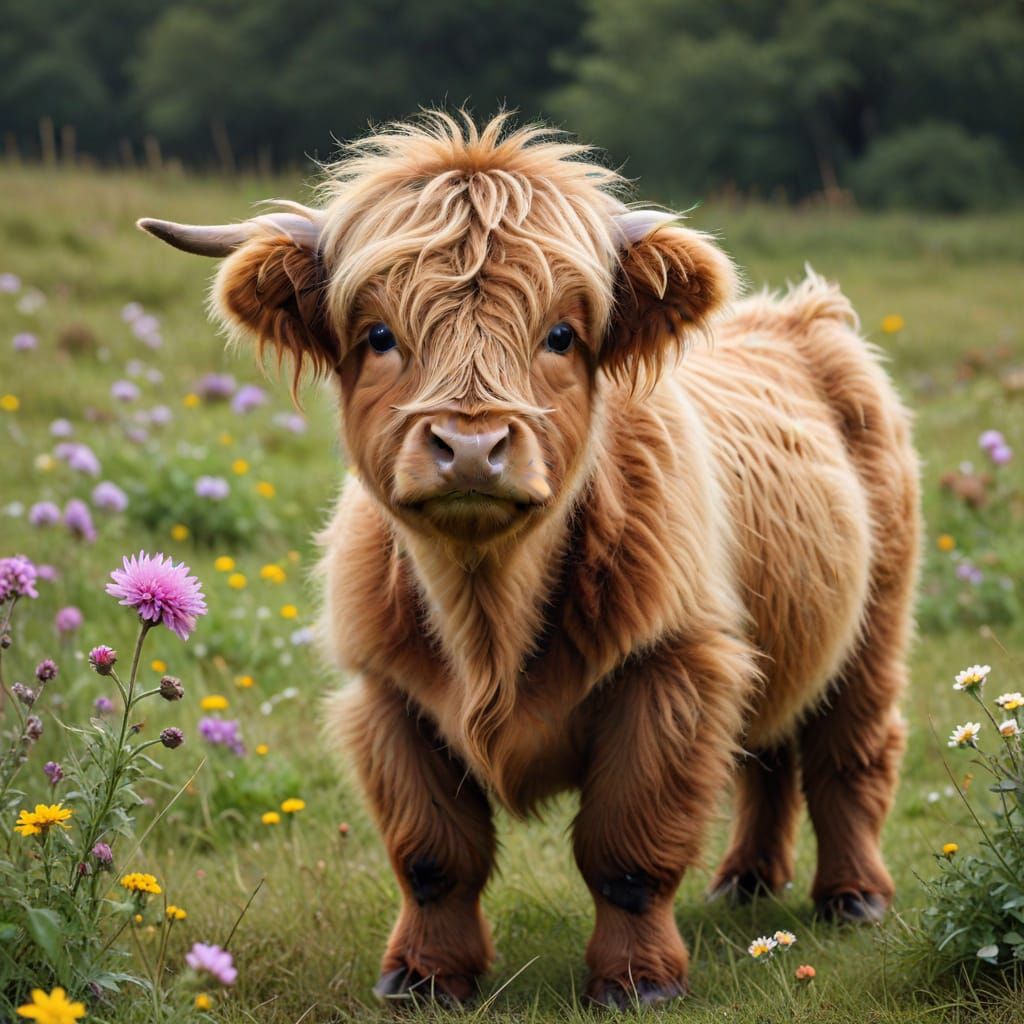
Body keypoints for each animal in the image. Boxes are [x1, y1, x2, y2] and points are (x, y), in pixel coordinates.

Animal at [139, 112, 920, 1008]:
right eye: (379, 336)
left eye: (561, 335)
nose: (472, 447)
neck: (488, 617)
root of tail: (804, 314)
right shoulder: (387, 696)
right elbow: (434, 856)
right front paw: (423, 977)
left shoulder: (673, 671)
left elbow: (626, 851)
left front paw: (637, 982)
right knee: (767, 754)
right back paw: (746, 883)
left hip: (876, 625)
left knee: (847, 751)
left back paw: (853, 896)